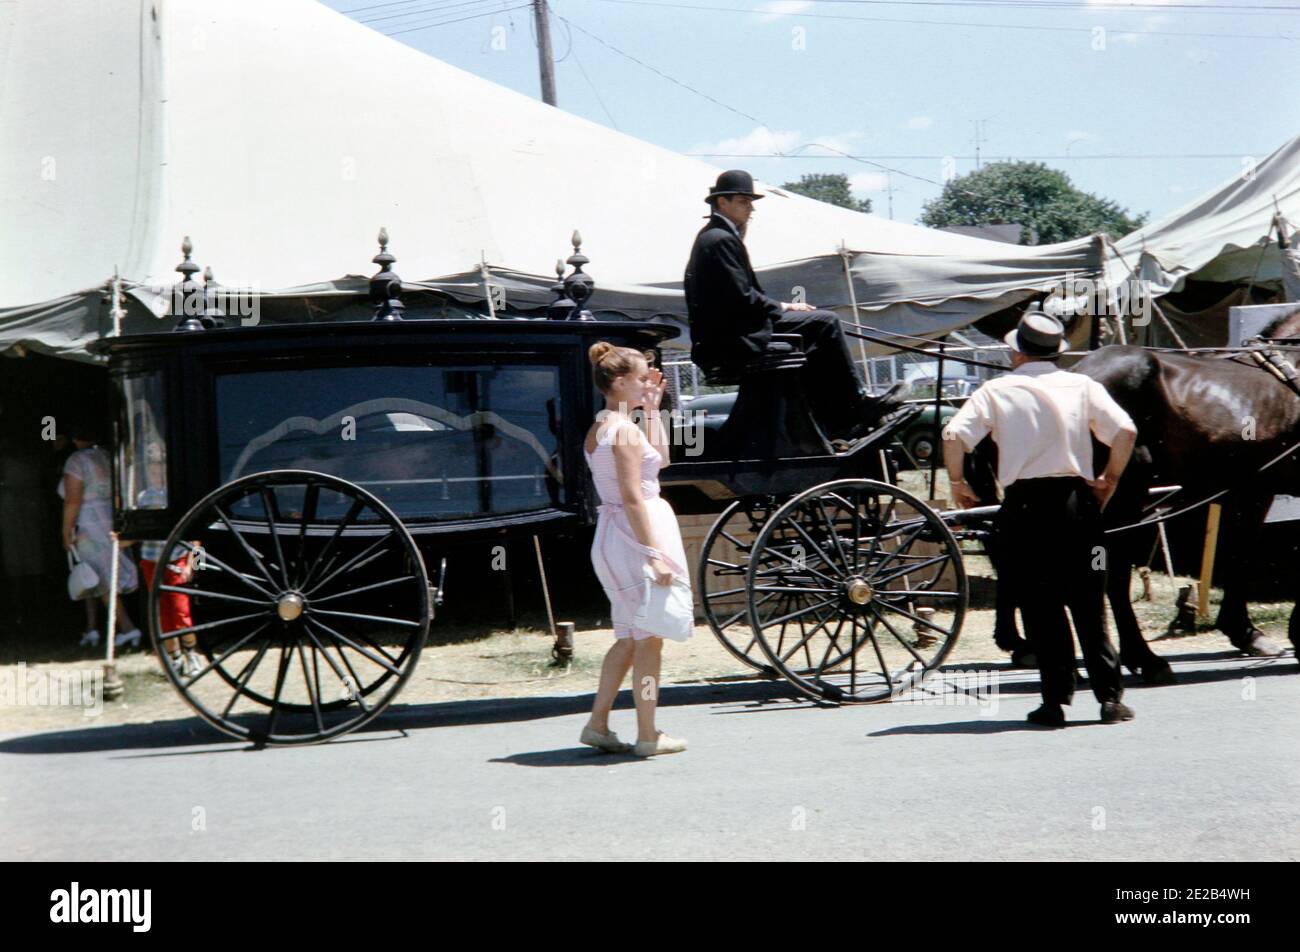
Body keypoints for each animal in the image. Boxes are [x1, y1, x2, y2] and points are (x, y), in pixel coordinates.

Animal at [977, 308, 1300, 681]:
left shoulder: (1252, 492)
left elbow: (1240, 553)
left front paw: (1245, 632)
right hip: (1121, 497)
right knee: (1112, 574)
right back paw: (1142, 658)